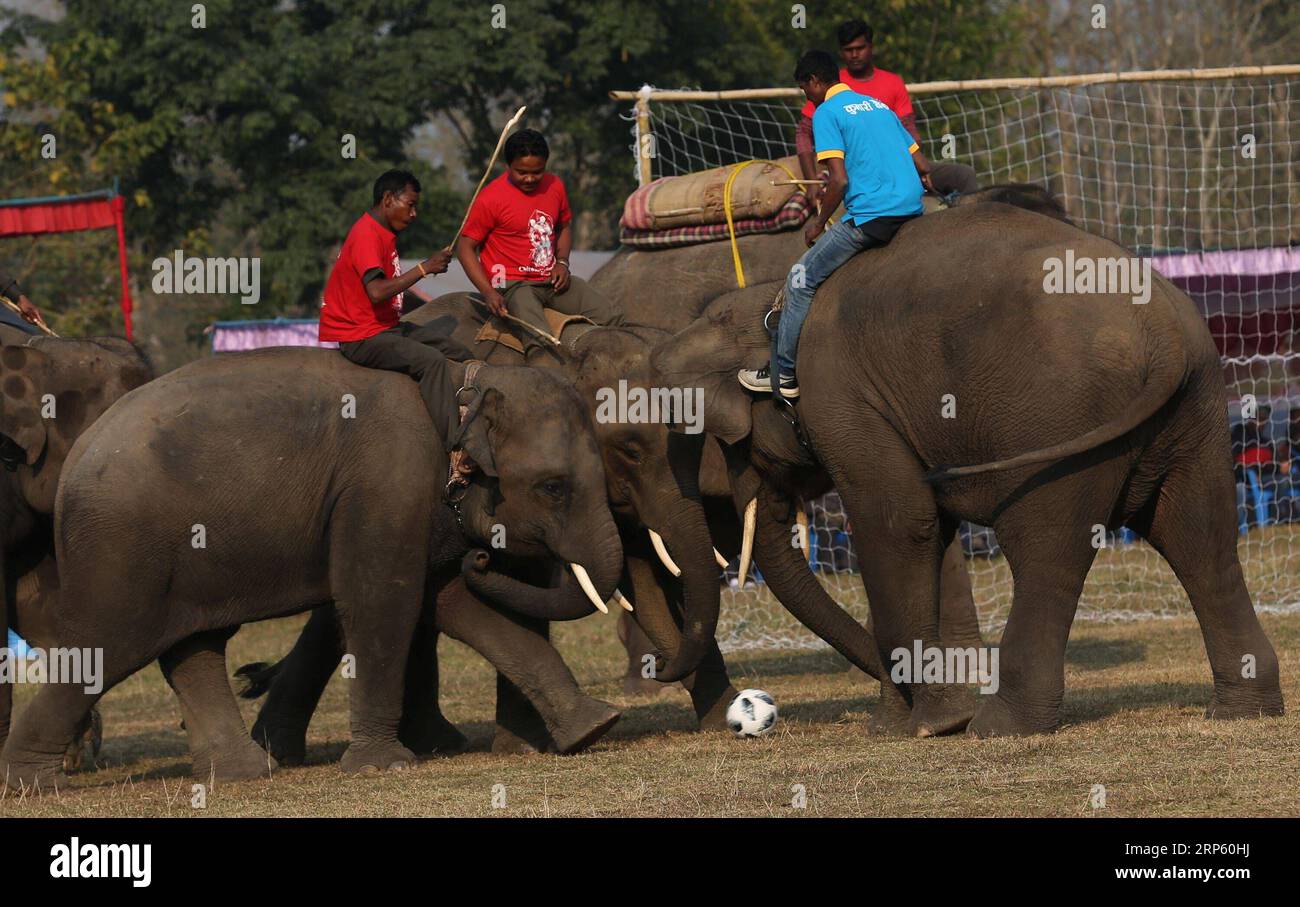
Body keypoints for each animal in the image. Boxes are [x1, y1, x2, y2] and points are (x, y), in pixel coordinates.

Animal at [655, 200, 1284, 732]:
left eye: (724, 442)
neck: (769, 304)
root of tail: (1166, 333)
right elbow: (929, 531)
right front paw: (900, 724)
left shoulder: (839, 397)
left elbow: (898, 524)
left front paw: (931, 723)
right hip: (1196, 411)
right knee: (1200, 540)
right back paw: (1241, 710)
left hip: (1062, 421)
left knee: (1045, 549)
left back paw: (1000, 725)